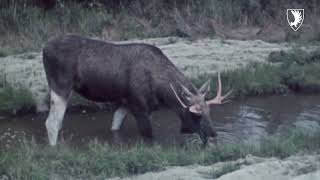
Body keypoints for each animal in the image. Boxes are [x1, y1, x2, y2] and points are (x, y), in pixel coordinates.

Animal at [43, 35, 232, 146]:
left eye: (209, 112)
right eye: (196, 115)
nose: (214, 134)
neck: (162, 94)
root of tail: (44, 48)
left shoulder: (125, 103)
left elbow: (115, 127)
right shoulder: (139, 107)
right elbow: (149, 136)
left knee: (57, 122)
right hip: (61, 86)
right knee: (52, 123)